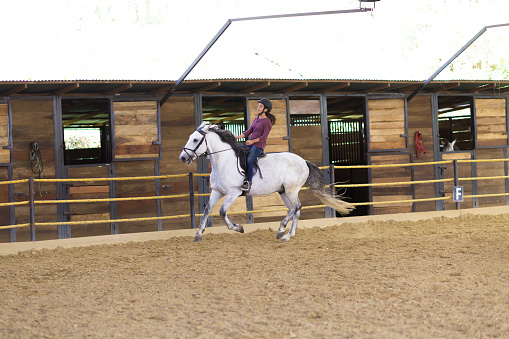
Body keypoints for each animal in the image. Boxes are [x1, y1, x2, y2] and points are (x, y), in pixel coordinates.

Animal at [180, 123, 354, 243]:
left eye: (195, 139)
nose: (182, 157)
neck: (224, 161)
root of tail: (303, 161)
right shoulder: (218, 191)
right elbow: (207, 210)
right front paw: (198, 234)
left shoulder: (233, 192)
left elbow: (222, 212)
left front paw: (238, 228)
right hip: (284, 192)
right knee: (295, 210)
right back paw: (288, 235)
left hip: (291, 189)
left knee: (296, 207)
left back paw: (281, 230)